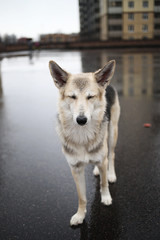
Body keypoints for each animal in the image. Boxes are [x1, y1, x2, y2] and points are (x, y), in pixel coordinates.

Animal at [48, 59, 120, 226]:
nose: (81, 120)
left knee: (111, 155)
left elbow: (103, 183)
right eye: (72, 97)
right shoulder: (75, 169)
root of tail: (108, 85)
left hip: (112, 133)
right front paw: (80, 215)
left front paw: (106, 197)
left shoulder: (101, 158)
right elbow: (82, 197)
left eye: (90, 97)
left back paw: (110, 173)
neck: (82, 136)